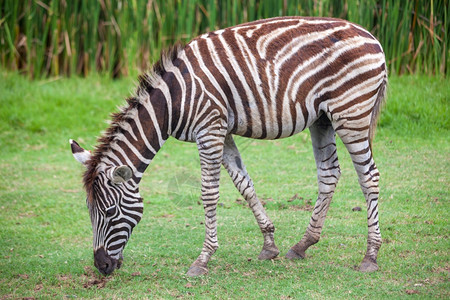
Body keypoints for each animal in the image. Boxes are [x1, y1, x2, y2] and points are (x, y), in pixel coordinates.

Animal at [69, 15, 386, 276]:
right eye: (88, 211)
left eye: (110, 212)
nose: (101, 266)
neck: (173, 100)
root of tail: (372, 37)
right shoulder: (223, 131)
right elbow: (244, 184)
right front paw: (269, 245)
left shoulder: (209, 130)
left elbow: (209, 194)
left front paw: (203, 259)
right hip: (323, 118)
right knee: (329, 174)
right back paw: (303, 244)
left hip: (351, 112)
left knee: (369, 177)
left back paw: (370, 256)